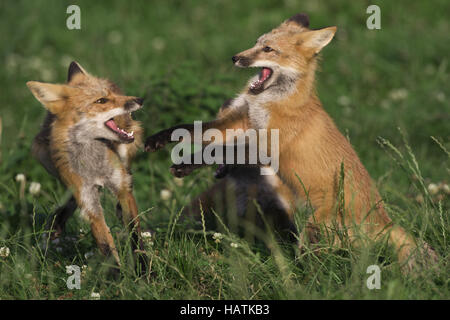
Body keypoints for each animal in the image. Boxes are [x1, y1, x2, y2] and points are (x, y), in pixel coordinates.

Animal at [26, 60, 145, 270]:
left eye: (112, 95)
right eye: (101, 101)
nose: (140, 99)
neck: (94, 166)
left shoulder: (122, 191)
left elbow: (135, 235)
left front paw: (144, 270)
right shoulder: (89, 202)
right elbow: (105, 245)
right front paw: (116, 276)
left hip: (126, 153)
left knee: (128, 177)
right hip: (47, 160)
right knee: (71, 198)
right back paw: (58, 221)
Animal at [147, 14, 436, 270]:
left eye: (268, 49)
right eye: (256, 43)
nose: (235, 58)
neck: (267, 101)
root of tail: (382, 219)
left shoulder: (267, 146)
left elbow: (220, 150)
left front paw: (185, 165)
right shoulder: (238, 122)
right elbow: (191, 130)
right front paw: (157, 139)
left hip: (313, 232)